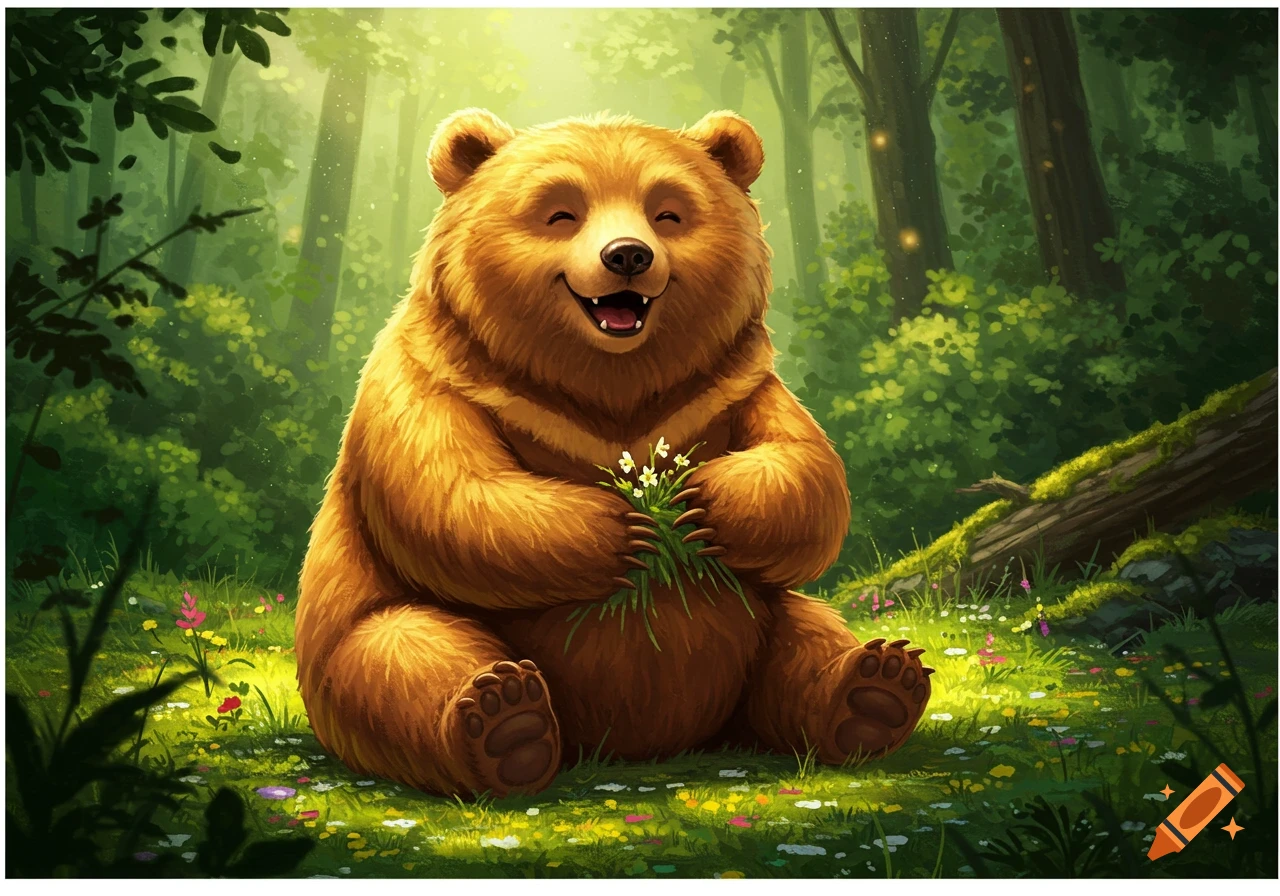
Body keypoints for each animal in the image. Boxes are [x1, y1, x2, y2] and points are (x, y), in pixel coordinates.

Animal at [293, 109, 931, 798]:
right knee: (402, 656)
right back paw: (505, 723)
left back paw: (874, 690)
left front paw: (697, 500)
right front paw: (628, 528)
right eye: (560, 212)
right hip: (362, 638)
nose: (627, 254)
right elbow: (450, 494)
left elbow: (807, 471)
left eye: (668, 212)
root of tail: (633, 744)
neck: (608, 385)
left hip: (761, 627)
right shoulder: (431, 377)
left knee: (807, 638)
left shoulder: (734, 387)